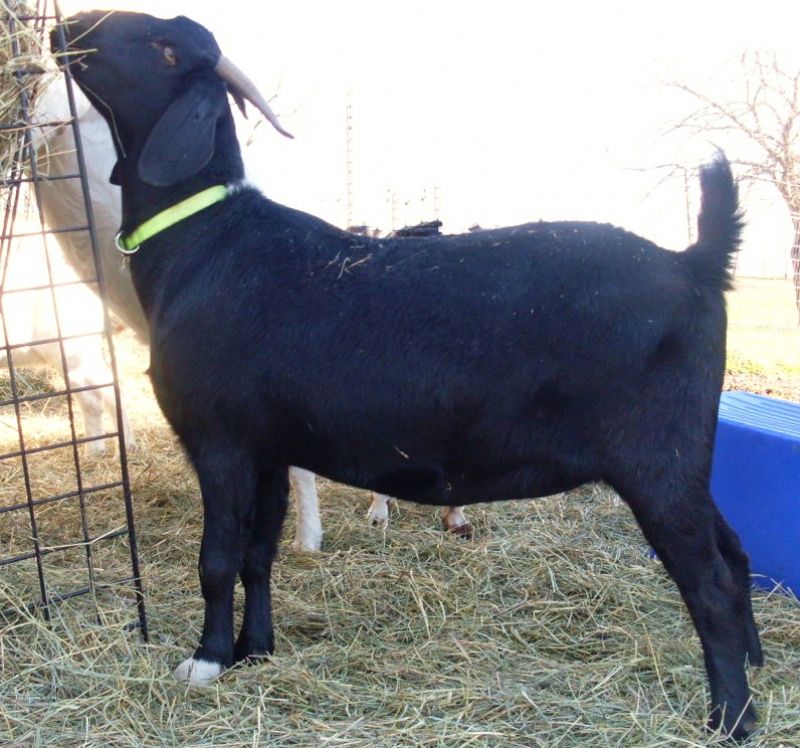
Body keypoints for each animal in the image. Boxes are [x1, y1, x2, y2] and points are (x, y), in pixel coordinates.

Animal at [60, 10, 763, 740]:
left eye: (163, 47)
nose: (69, 26)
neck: (208, 242)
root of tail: (695, 263)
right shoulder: (269, 448)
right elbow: (258, 553)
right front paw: (256, 650)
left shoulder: (220, 440)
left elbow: (218, 557)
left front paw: (206, 661)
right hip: (683, 458)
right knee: (735, 550)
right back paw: (757, 664)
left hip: (657, 459)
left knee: (709, 580)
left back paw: (732, 716)